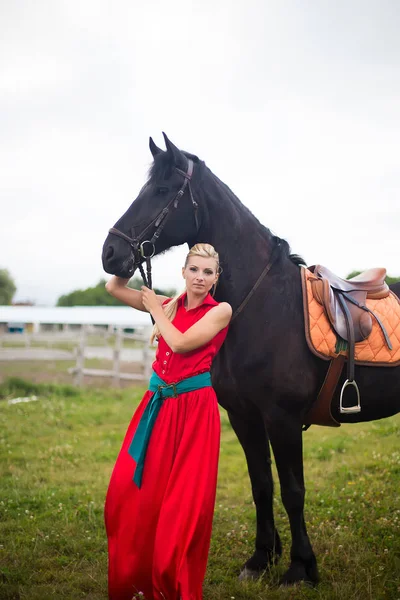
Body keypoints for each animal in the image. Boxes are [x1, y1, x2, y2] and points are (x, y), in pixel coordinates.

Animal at [101, 132, 400, 584]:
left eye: (163, 190)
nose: (110, 253)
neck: (263, 304)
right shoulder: (243, 415)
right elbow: (261, 485)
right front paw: (261, 559)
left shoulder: (282, 418)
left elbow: (293, 491)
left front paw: (300, 566)